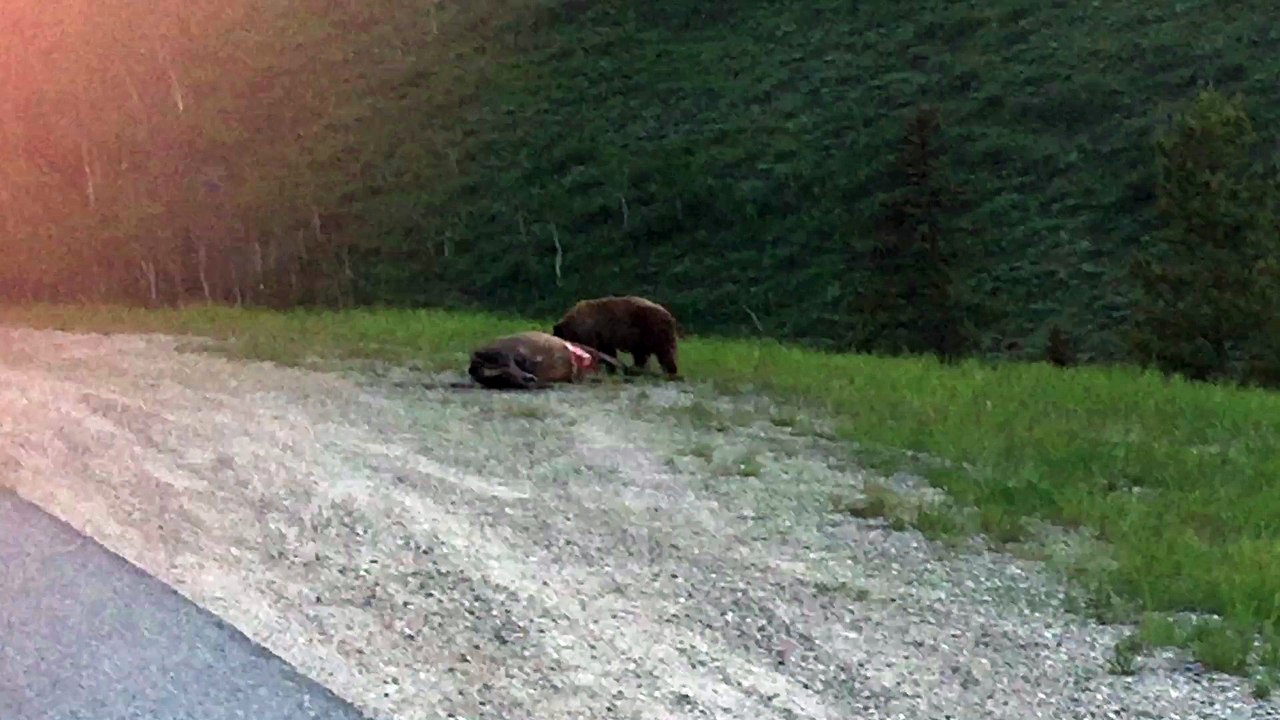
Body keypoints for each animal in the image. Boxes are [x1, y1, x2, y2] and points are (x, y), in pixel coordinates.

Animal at [551, 295, 682, 379]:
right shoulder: (604, 337)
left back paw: (670, 371)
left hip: (652, 331)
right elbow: (608, 352)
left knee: (664, 352)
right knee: (641, 354)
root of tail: (670, 316)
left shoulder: (591, 333)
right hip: (642, 339)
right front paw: (611, 369)